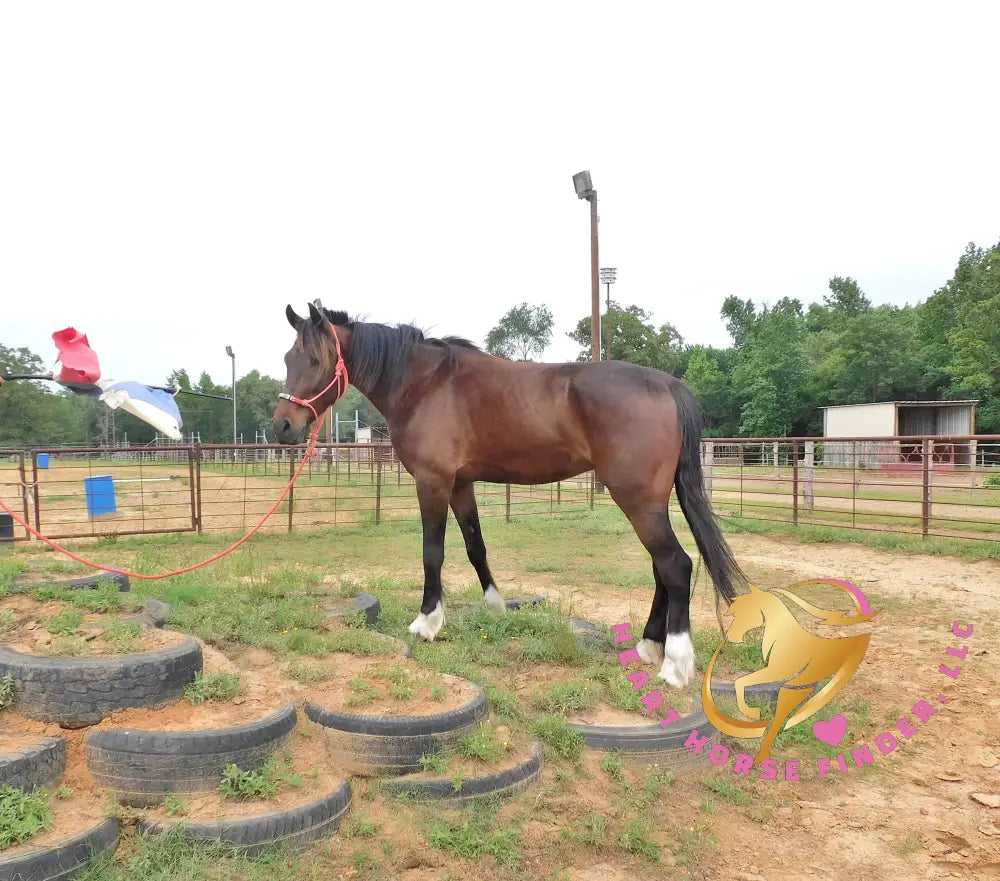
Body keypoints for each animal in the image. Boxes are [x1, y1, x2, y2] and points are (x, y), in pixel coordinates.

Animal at [272, 300, 747, 689]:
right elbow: (475, 546)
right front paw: (496, 607)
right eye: (287, 358)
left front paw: (427, 621)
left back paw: (674, 665)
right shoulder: (460, 483)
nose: (283, 427)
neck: (424, 383)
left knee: (675, 565)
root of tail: (667, 384)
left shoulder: (433, 481)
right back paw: (649, 646)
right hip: (649, 503)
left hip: (637, 500)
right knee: (661, 567)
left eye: (314, 359)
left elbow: (432, 552)